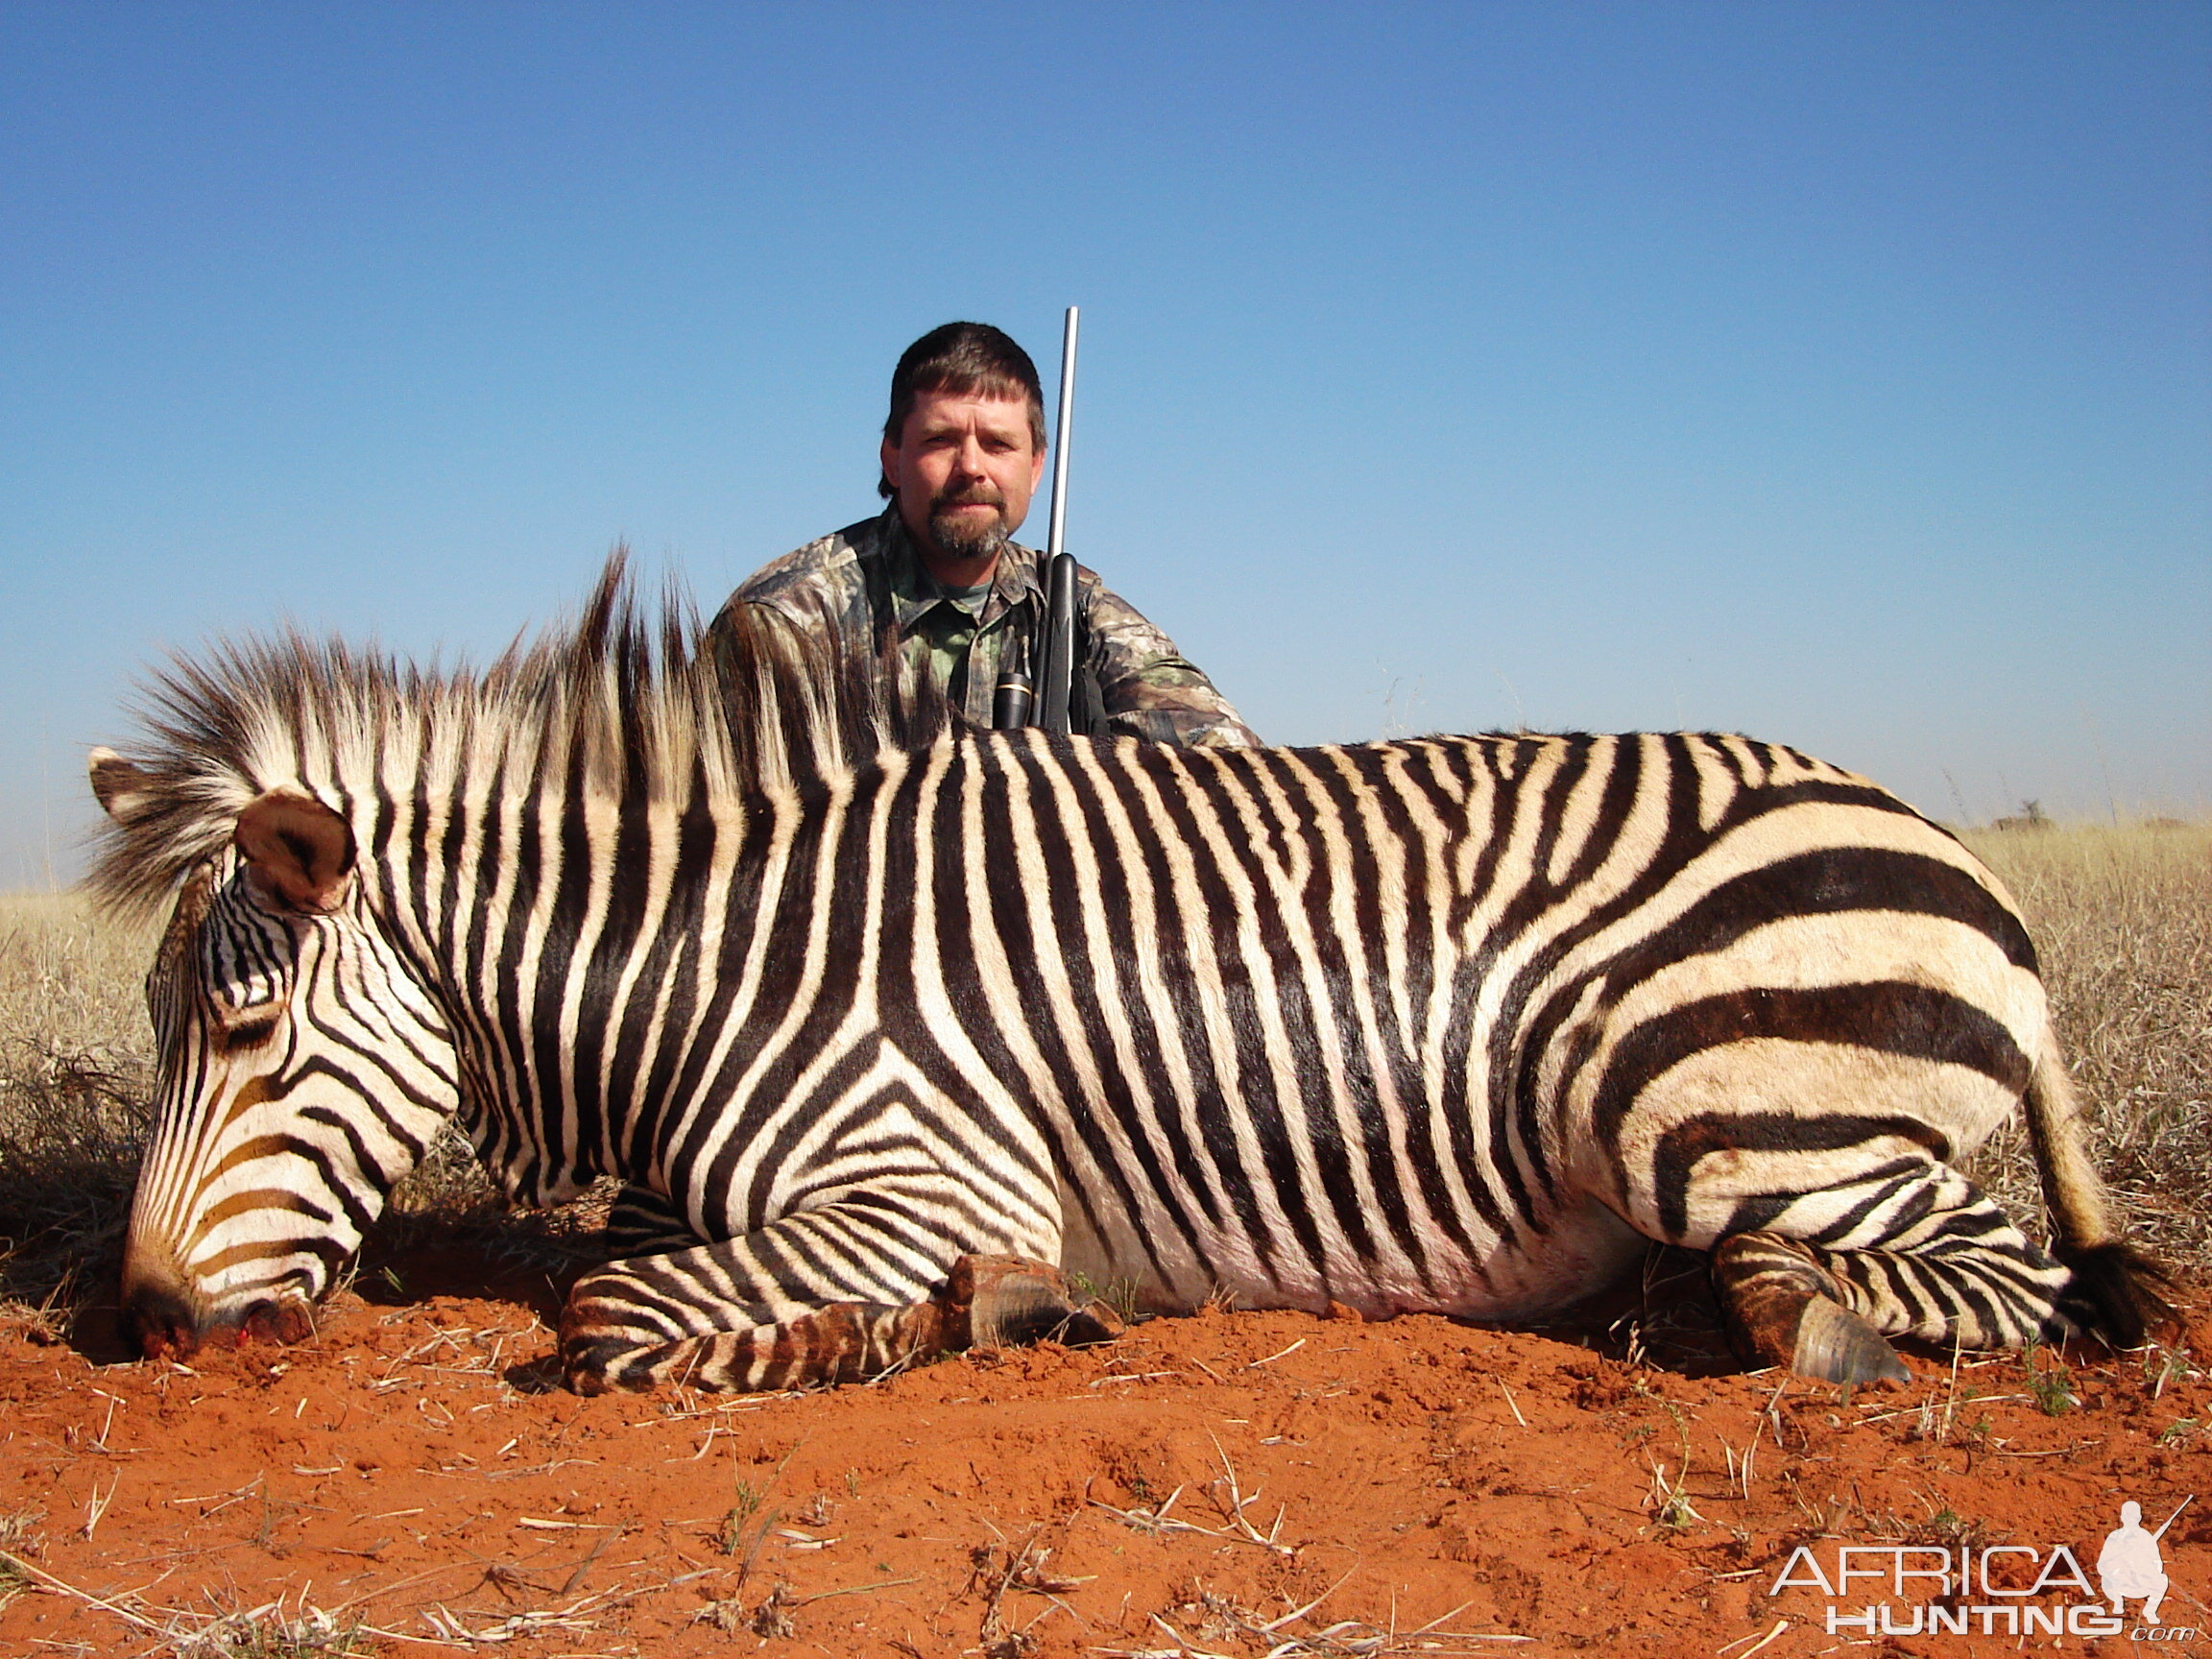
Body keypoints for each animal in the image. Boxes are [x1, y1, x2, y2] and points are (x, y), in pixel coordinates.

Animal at [82, 565, 2158, 1398]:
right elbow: (633, 1278)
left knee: (2001, 1281)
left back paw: (1798, 1315)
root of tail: (1961, 863)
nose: (141, 1320)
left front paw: (958, 1322)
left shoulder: (923, 1174)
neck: (723, 952)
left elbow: (611, 1314)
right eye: (161, 1030)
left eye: (244, 1030)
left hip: (1716, 1104)